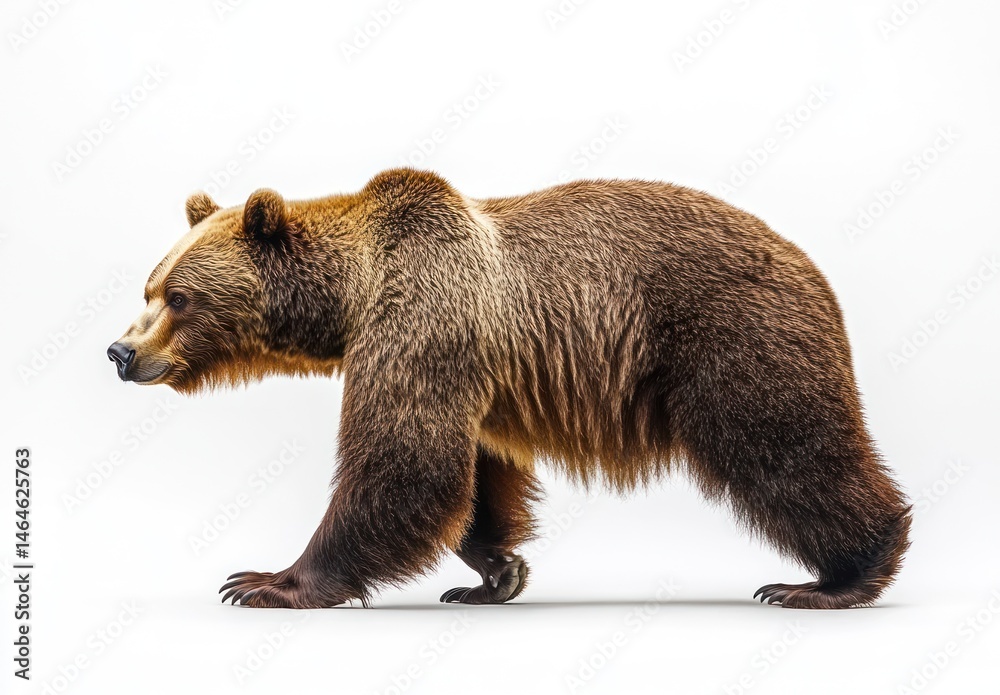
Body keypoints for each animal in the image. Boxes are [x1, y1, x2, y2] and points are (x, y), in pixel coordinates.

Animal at [108, 168, 911, 609]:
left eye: (179, 297)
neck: (352, 296)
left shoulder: (421, 318)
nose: (121, 351)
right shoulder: (475, 372)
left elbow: (402, 464)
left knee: (785, 448)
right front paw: (496, 570)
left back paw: (837, 576)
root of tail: (814, 269)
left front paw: (266, 580)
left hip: (734, 338)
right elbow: (472, 475)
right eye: (149, 287)